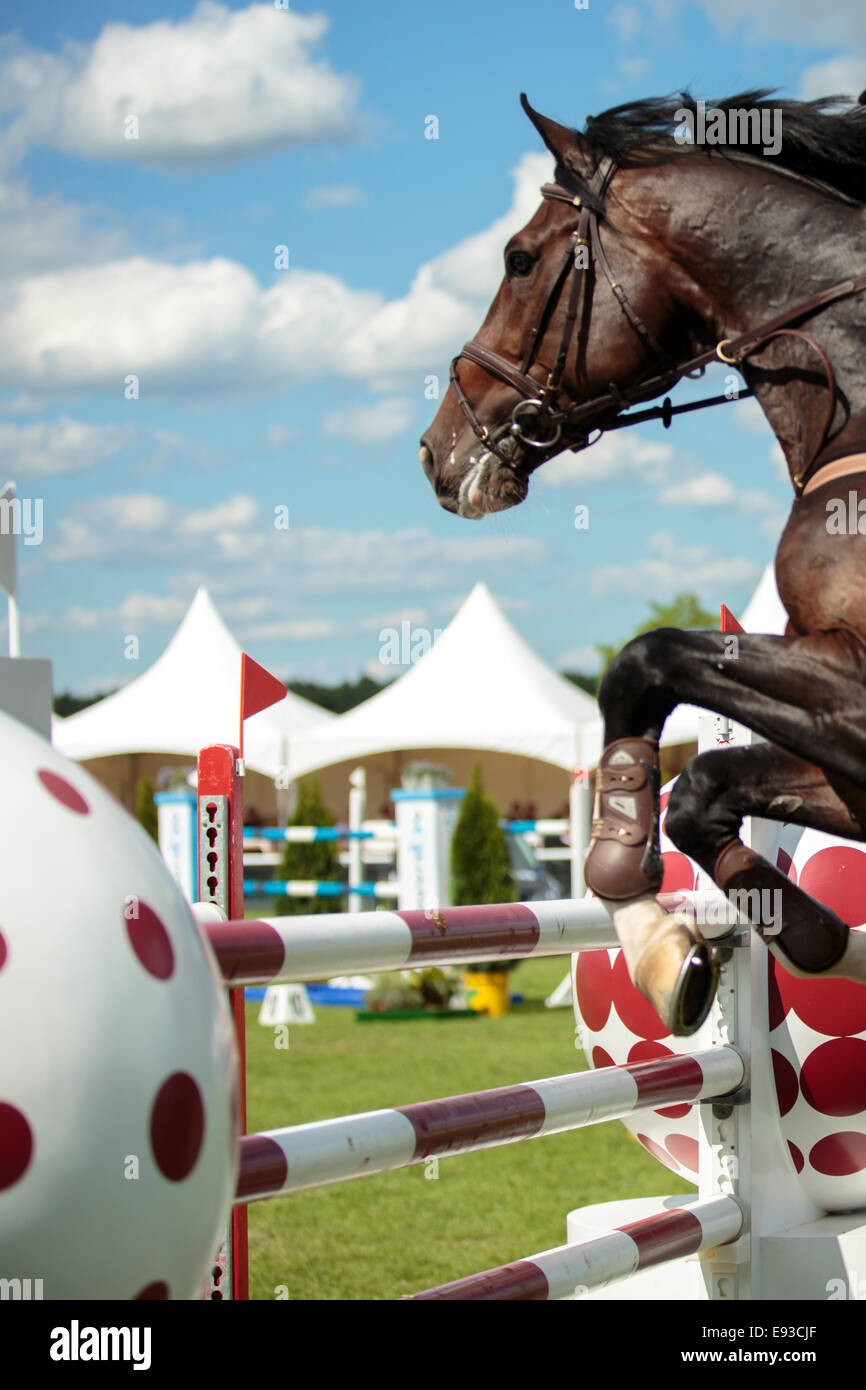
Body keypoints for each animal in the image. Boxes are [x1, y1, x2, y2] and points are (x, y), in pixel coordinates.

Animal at [419, 89, 866, 1034]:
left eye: (518, 260)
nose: (436, 451)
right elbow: (701, 789)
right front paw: (751, 943)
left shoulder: (854, 692)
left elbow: (644, 659)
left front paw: (641, 916)